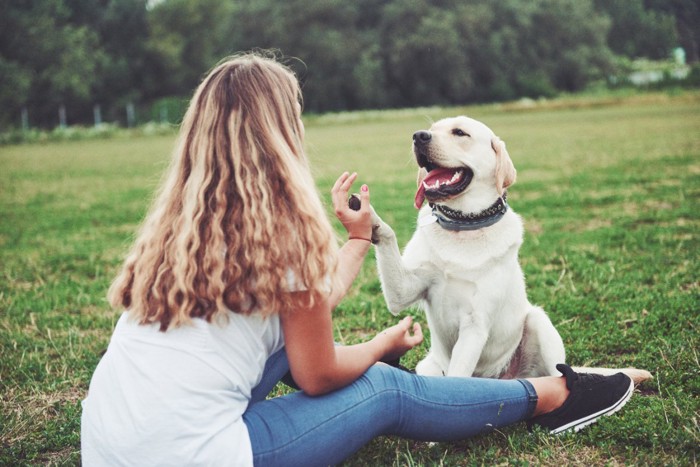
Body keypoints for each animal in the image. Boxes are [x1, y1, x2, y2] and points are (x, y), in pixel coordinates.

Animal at [372, 117, 652, 384]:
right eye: (432, 129)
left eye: (460, 133)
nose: (419, 136)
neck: (463, 226)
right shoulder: (403, 291)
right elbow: (388, 238)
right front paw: (368, 215)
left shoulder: (475, 325)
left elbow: (457, 376)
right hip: (428, 366)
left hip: (538, 322)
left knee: (556, 377)